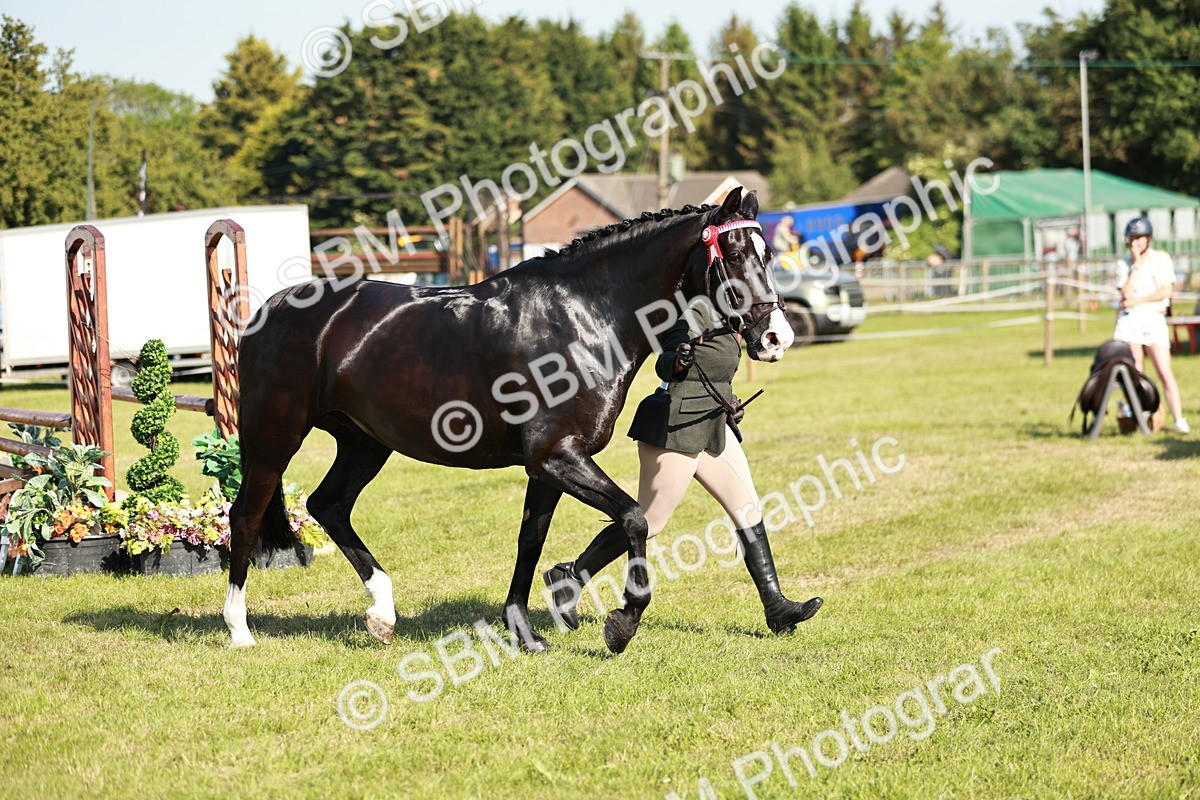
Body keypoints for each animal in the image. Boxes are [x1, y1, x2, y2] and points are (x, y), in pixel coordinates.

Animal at [223, 187, 794, 654]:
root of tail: (273, 307)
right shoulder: (554, 455)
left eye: (768, 254)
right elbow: (633, 518)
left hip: (364, 442)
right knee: (246, 516)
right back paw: (240, 629)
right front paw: (622, 623)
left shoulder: (549, 464)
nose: (776, 337)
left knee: (330, 505)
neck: (585, 314)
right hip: (275, 439)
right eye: (735, 254)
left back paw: (382, 614)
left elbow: (530, 539)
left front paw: (523, 629)